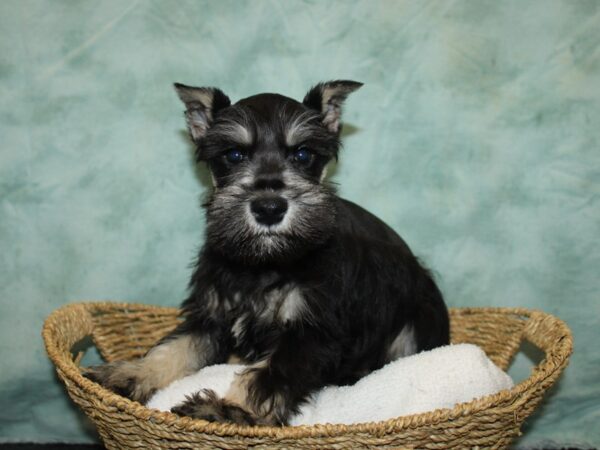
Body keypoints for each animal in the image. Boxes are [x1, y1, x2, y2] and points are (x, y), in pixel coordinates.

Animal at [85, 80, 450, 426]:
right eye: (234, 155)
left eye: (302, 154)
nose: (269, 207)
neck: (265, 261)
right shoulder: (211, 316)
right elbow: (174, 348)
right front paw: (130, 373)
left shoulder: (312, 331)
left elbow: (266, 376)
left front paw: (228, 410)